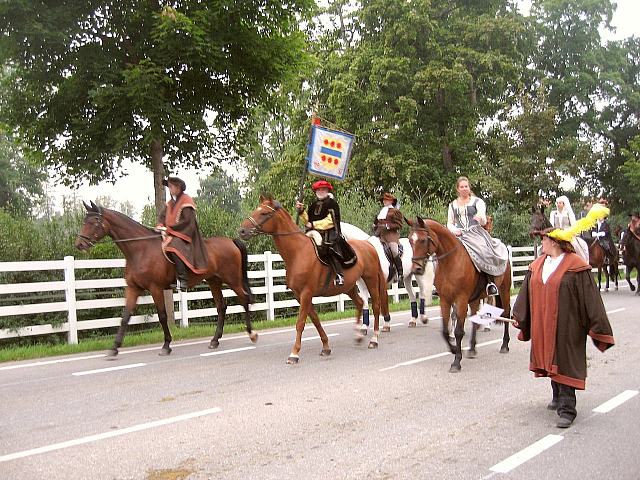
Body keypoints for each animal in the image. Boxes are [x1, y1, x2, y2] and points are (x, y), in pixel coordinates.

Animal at [74, 202, 255, 356]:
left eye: (94, 221)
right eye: (84, 220)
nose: (79, 244)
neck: (140, 250)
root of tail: (231, 241)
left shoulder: (155, 288)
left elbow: (162, 316)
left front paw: (166, 345)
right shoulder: (133, 288)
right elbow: (125, 316)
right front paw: (114, 347)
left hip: (232, 280)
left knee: (244, 300)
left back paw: (251, 333)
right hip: (214, 281)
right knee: (221, 307)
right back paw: (215, 340)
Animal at [239, 193, 390, 362]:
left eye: (264, 213)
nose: (242, 230)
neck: (298, 252)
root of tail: (369, 245)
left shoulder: (306, 293)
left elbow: (300, 323)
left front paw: (294, 353)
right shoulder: (300, 296)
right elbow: (316, 320)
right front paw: (326, 347)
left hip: (371, 280)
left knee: (376, 306)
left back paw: (373, 340)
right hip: (349, 287)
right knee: (359, 303)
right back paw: (358, 336)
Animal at [408, 217, 512, 372]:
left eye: (423, 240)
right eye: (410, 240)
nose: (416, 269)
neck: (451, 262)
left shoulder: (461, 299)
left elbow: (458, 331)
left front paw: (456, 361)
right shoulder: (445, 300)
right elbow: (445, 331)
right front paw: (453, 350)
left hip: (504, 290)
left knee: (506, 314)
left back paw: (504, 345)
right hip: (475, 298)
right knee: (475, 319)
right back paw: (472, 349)